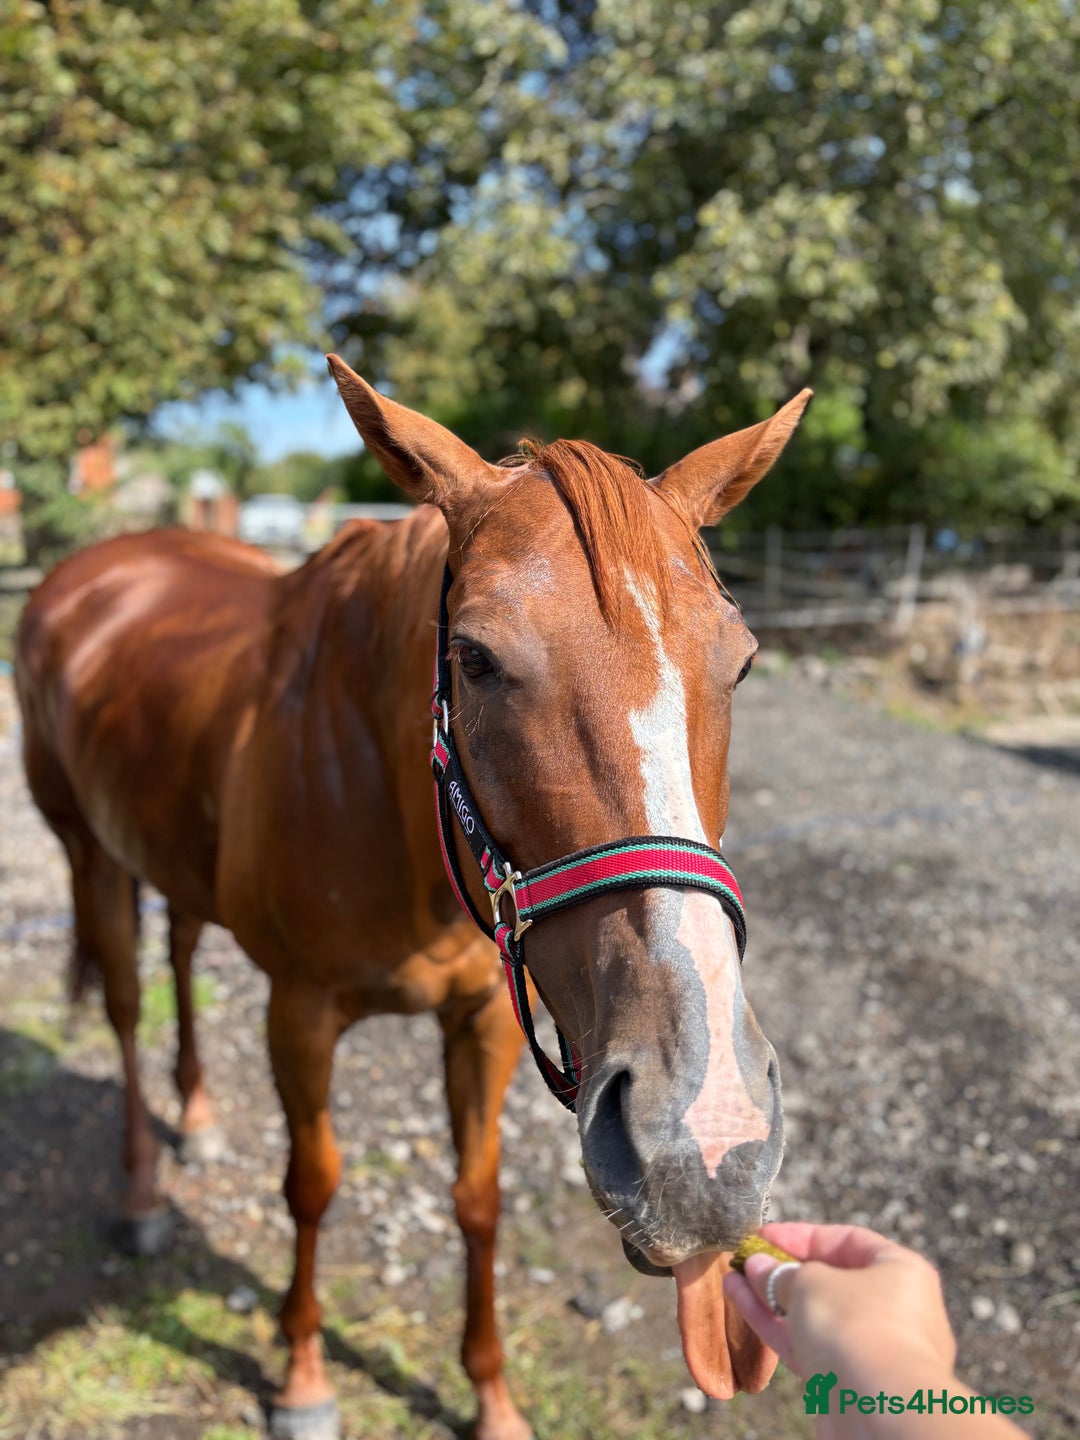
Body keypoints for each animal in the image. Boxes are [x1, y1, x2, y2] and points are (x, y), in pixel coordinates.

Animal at [14, 357, 811, 1440]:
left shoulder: (483, 1018)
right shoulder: (300, 1011)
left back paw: (201, 1111)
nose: (706, 1136)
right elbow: (312, 1183)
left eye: (743, 660)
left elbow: (477, 1197)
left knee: (178, 949)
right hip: (87, 850)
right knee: (127, 1006)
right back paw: (141, 1193)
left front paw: (492, 1396)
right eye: (473, 658)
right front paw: (304, 1377)